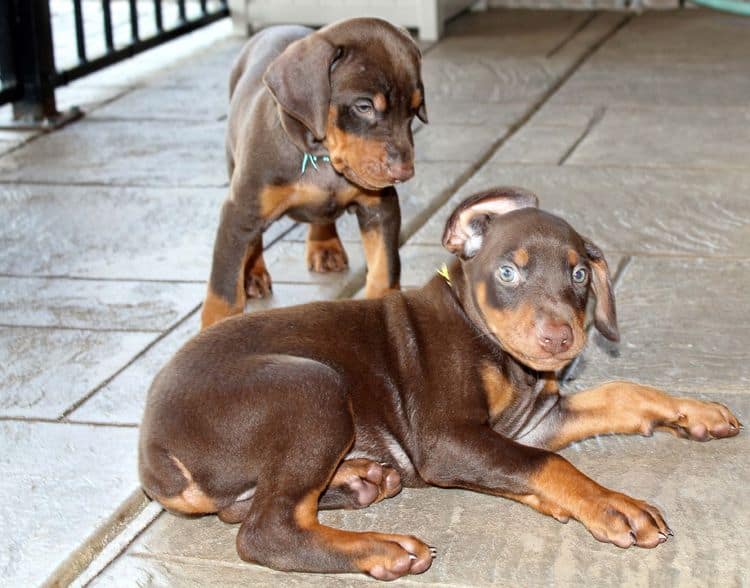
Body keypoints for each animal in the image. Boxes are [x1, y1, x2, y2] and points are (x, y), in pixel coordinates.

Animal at [140, 187, 740, 580]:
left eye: (578, 274)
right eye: (508, 272)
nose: (560, 339)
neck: (499, 354)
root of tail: (152, 453)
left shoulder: (535, 421)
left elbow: (622, 394)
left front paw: (696, 411)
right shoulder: (447, 440)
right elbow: (550, 465)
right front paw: (613, 505)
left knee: (245, 506)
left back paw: (363, 480)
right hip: (311, 385)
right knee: (265, 530)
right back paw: (380, 547)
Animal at [201, 17, 428, 330]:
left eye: (415, 109)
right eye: (364, 106)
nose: (404, 172)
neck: (321, 157)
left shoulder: (380, 207)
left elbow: (385, 268)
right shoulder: (240, 210)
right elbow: (223, 292)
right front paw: (212, 330)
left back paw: (325, 246)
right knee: (252, 239)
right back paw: (252, 273)